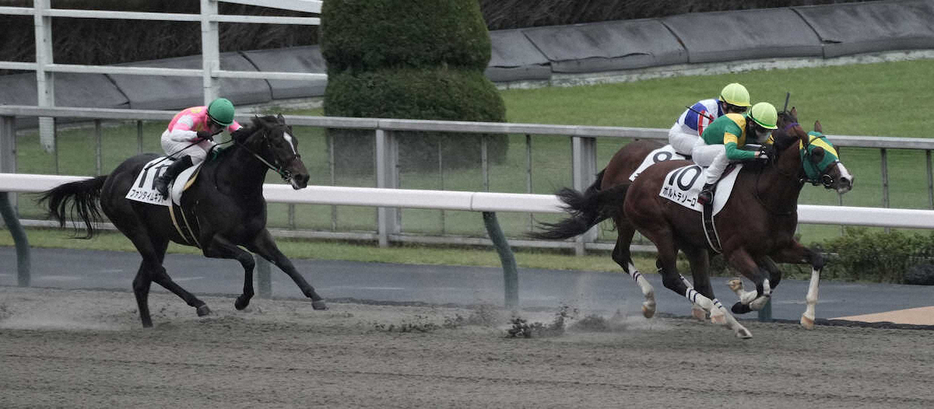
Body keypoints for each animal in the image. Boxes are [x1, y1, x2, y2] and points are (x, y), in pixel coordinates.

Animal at [39, 114, 330, 326]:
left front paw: (316, 297)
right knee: (158, 272)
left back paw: (149, 325)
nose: (302, 177)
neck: (233, 187)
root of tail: (110, 176)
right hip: (135, 229)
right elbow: (247, 260)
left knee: (142, 281)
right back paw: (199, 304)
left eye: (296, 141)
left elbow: (285, 262)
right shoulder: (210, 243)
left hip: (158, 236)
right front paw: (241, 301)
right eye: (278, 143)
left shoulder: (257, 235)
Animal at [532, 108, 856, 338]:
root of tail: (634, 180)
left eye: (834, 148)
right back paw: (684, 308)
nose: (846, 179)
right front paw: (745, 301)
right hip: (652, 227)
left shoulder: (777, 245)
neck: (765, 194)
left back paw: (727, 320)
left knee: (695, 281)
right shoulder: (735, 250)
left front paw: (806, 315)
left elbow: (809, 262)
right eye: (816, 151)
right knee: (654, 269)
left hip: (690, 241)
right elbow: (764, 283)